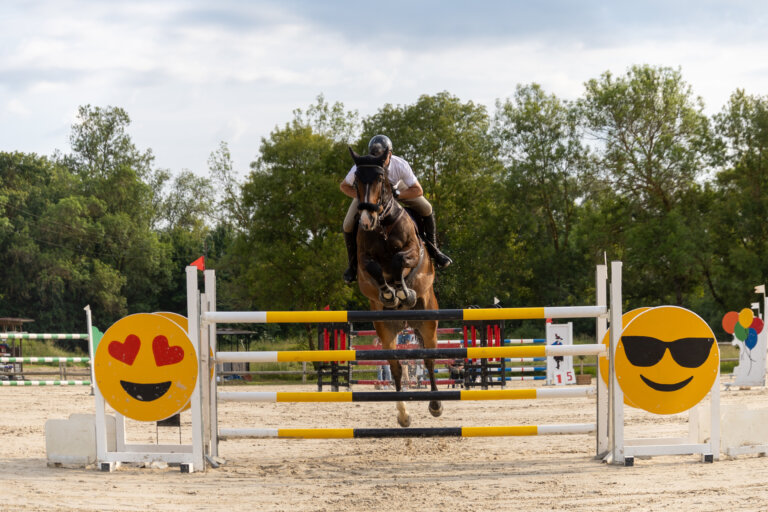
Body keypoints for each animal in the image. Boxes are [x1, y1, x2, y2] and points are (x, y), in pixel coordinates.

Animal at [348, 147, 442, 427]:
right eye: (356, 181)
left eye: (380, 179)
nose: (366, 219)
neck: (383, 224)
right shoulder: (364, 260)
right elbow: (373, 268)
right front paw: (390, 293)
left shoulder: (412, 249)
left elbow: (401, 260)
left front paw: (402, 291)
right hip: (386, 328)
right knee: (396, 367)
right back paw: (403, 414)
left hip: (427, 321)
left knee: (429, 360)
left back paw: (436, 405)